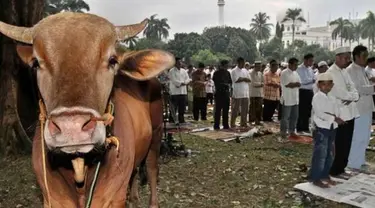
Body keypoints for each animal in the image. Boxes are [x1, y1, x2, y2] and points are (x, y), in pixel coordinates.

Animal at [0, 12, 175, 207]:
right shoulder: (51, 198)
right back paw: (135, 197)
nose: (72, 127)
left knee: (152, 168)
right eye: (36, 63)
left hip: (157, 133)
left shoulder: (115, 198)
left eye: (112, 61)